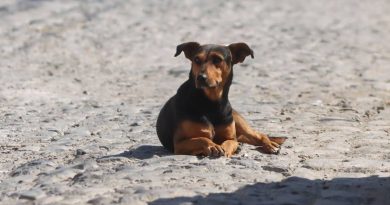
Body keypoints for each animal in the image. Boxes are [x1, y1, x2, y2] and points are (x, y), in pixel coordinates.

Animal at [156, 41, 286, 157]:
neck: (210, 103)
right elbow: (202, 139)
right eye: (196, 60)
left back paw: (270, 145)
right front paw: (213, 146)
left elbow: (228, 142)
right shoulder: (179, 143)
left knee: (260, 135)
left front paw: (225, 149)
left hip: (240, 123)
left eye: (217, 59)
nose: (201, 77)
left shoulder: (230, 138)